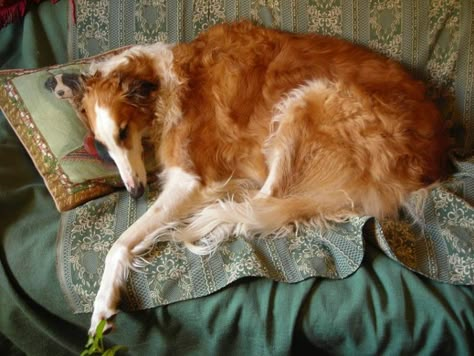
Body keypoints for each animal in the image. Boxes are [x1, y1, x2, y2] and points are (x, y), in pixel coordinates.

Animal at [79, 21, 446, 334]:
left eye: (123, 131)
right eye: (103, 146)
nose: (135, 192)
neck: (167, 83)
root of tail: (424, 162)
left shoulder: (191, 180)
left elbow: (119, 243)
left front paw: (102, 306)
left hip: (307, 100)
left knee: (261, 206)